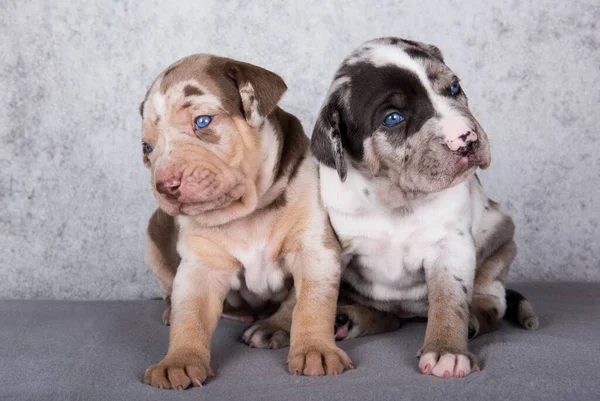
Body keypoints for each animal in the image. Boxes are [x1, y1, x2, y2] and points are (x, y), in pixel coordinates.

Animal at [138, 54, 354, 388]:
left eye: (202, 121)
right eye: (147, 149)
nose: (165, 185)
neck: (247, 212)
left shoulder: (315, 250)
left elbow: (310, 304)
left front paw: (315, 350)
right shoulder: (201, 265)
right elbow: (190, 316)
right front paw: (179, 361)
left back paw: (270, 327)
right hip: (153, 239)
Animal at [314, 38, 540, 378]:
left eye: (454, 87)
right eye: (393, 118)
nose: (466, 138)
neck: (396, 198)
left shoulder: (451, 247)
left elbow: (450, 299)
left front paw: (447, 350)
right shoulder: (333, 244)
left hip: (501, 241)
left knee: (491, 304)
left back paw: (473, 321)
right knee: (386, 317)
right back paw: (348, 319)